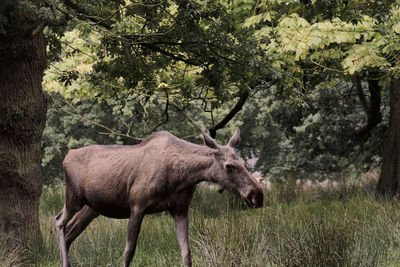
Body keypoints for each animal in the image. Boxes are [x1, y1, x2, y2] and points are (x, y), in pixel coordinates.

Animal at [54, 129, 264, 266]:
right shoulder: (137, 206)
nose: (257, 195)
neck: (181, 177)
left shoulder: (180, 210)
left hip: (92, 208)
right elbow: (129, 252)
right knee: (59, 221)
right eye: (229, 166)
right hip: (73, 197)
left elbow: (187, 253)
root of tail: (66, 156)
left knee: (70, 232)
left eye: (243, 162)